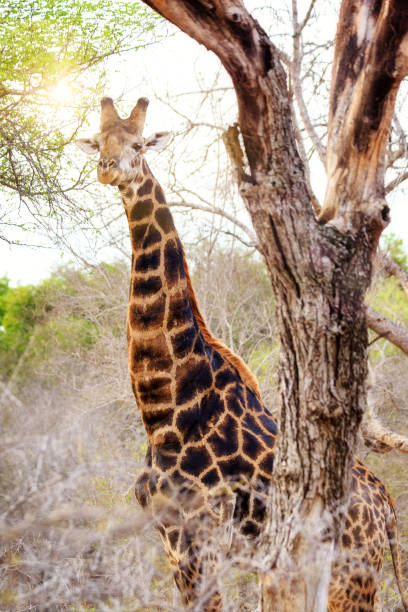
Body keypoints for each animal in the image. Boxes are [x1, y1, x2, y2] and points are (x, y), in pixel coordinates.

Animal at [75, 97, 404, 612]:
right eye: (100, 141)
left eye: (138, 144)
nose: (108, 169)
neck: (167, 409)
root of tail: (387, 506)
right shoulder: (170, 539)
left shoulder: (199, 540)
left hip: (351, 577)